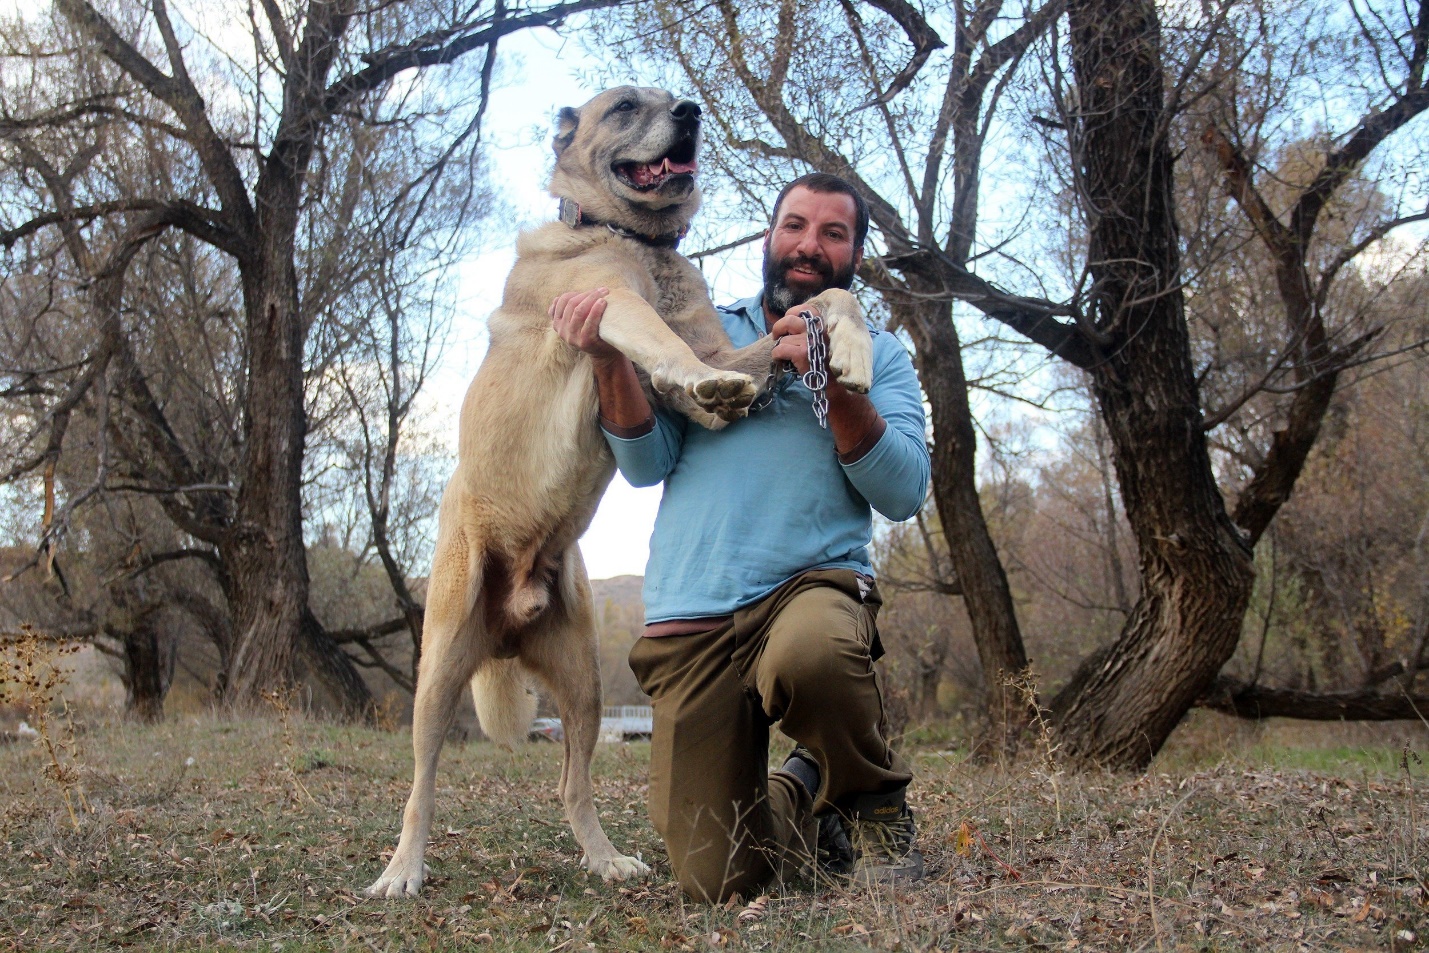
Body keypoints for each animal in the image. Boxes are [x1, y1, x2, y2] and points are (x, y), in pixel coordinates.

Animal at [360, 85, 868, 897]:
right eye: (627, 105)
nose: (690, 110)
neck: (639, 240)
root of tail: (506, 623)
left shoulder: (729, 343)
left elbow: (825, 300)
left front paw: (852, 351)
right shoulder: (607, 307)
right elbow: (662, 340)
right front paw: (700, 379)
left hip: (583, 688)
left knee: (572, 785)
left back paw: (604, 860)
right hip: (437, 673)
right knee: (421, 785)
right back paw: (403, 871)